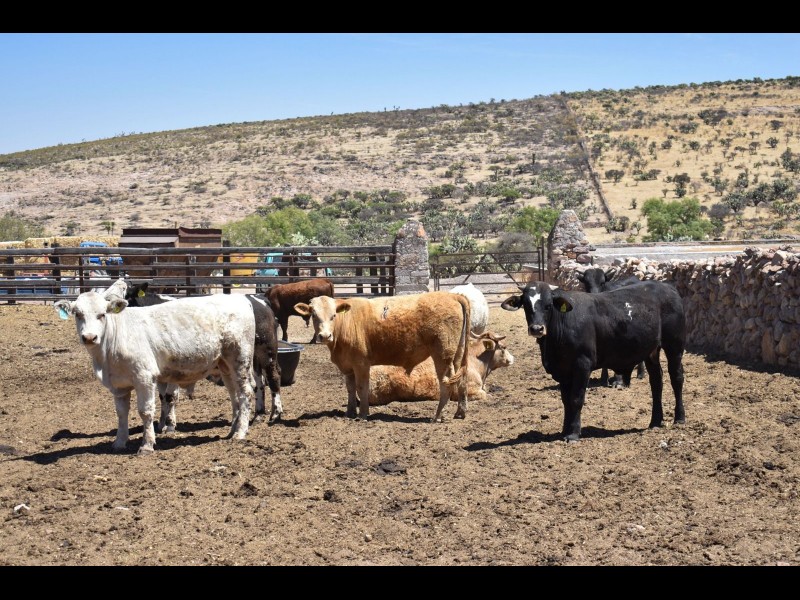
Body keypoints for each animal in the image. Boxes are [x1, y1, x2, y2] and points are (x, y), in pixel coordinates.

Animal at [55, 280, 257, 454]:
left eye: (102, 314)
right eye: (78, 314)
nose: (90, 337)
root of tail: (241, 300)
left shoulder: (144, 377)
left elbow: (145, 411)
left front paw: (147, 444)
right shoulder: (118, 385)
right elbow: (121, 413)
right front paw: (119, 442)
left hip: (240, 359)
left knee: (246, 393)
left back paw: (240, 432)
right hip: (225, 365)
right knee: (234, 395)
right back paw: (233, 429)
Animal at [124, 281, 284, 424]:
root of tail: (259, 300)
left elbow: (170, 395)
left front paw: (169, 424)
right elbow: (163, 396)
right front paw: (162, 423)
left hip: (267, 351)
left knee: (273, 377)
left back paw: (275, 414)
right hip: (252, 357)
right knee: (259, 382)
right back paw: (259, 414)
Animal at [294, 291, 471, 422]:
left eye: (333, 316)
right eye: (314, 315)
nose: (325, 336)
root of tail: (452, 295)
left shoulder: (361, 363)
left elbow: (361, 388)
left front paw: (362, 414)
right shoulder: (347, 366)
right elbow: (350, 388)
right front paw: (349, 413)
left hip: (443, 355)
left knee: (446, 383)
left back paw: (438, 416)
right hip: (457, 353)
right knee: (461, 380)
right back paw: (460, 413)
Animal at [501, 280, 686, 442]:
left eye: (548, 305)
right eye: (526, 305)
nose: (537, 329)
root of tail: (669, 288)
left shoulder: (582, 365)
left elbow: (576, 399)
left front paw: (573, 434)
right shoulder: (563, 371)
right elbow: (566, 401)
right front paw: (565, 430)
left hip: (674, 346)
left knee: (676, 378)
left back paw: (679, 418)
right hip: (651, 351)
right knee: (656, 382)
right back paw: (655, 421)